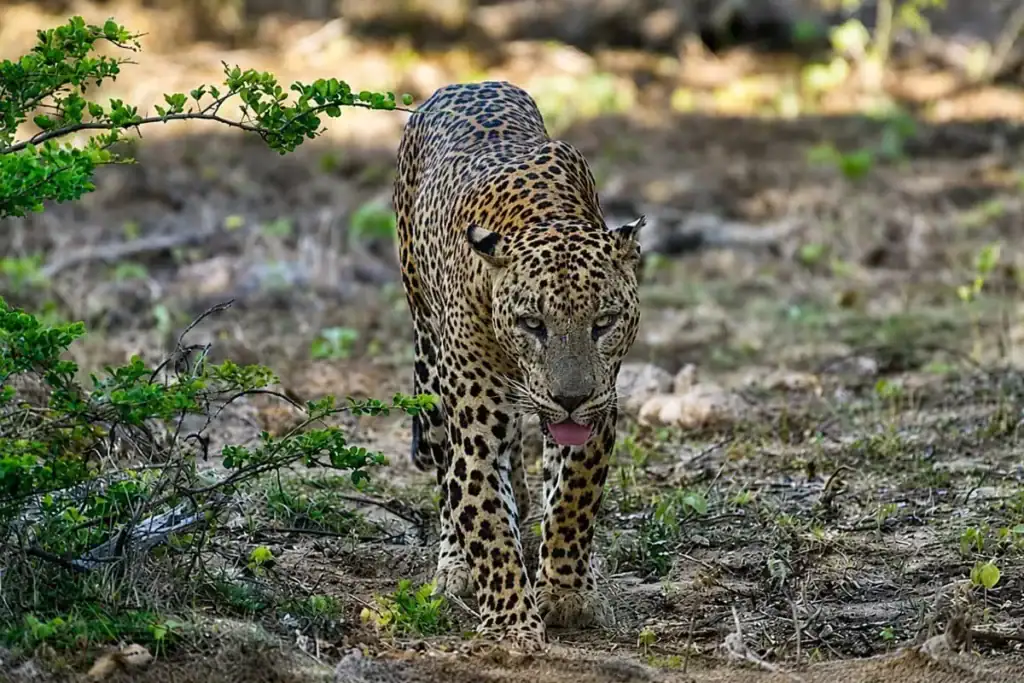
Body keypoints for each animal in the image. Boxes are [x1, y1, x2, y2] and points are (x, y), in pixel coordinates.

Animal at [393, 80, 645, 650]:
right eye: (533, 323)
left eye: (604, 322)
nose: (569, 398)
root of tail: (466, 83)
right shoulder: (474, 422)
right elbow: (485, 518)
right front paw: (510, 625)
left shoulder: (600, 409)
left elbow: (573, 500)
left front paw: (566, 592)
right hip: (429, 369)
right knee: (446, 477)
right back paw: (453, 566)